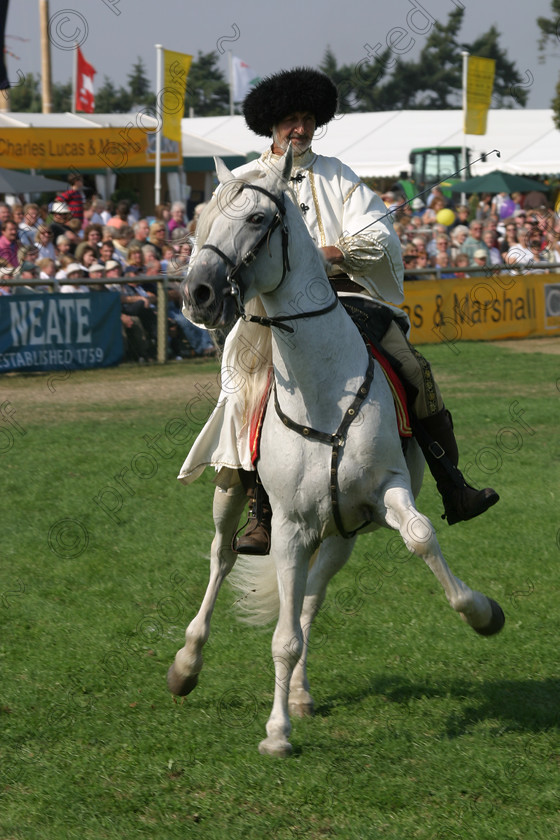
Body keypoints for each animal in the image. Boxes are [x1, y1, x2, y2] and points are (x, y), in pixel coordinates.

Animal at [168, 148, 506, 756]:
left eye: (258, 218)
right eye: (200, 222)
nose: (198, 295)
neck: (322, 392)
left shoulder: (385, 492)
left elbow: (421, 538)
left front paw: (483, 614)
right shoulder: (288, 527)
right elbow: (282, 637)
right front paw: (276, 733)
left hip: (342, 534)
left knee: (309, 598)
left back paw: (300, 693)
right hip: (232, 493)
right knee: (222, 557)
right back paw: (187, 664)